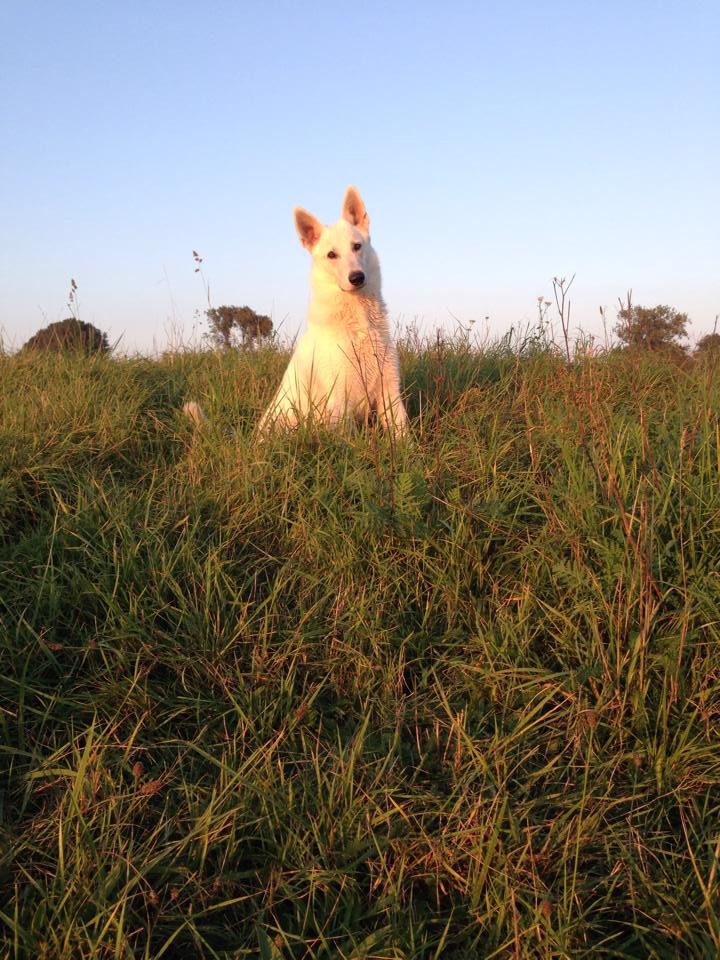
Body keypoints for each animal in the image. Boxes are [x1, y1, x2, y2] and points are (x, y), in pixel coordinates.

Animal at [258, 188, 408, 436]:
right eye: (331, 255)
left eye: (357, 246)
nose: (357, 278)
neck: (359, 325)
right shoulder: (340, 400)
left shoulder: (389, 391)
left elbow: (403, 435)